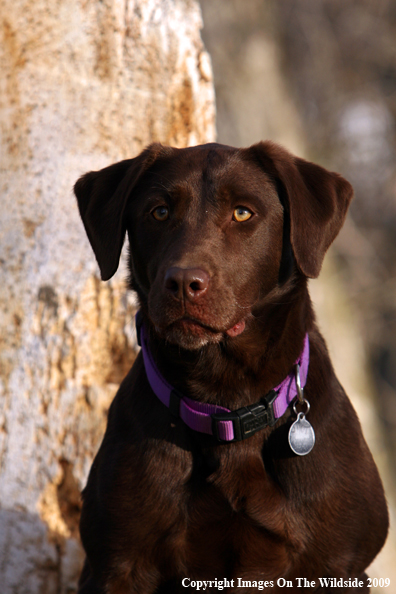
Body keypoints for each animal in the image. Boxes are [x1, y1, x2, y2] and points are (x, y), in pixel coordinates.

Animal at [73, 141, 386, 588]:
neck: (227, 400)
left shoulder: (341, 564)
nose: (182, 283)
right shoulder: (117, 564)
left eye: (242, 213)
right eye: (159, 212)